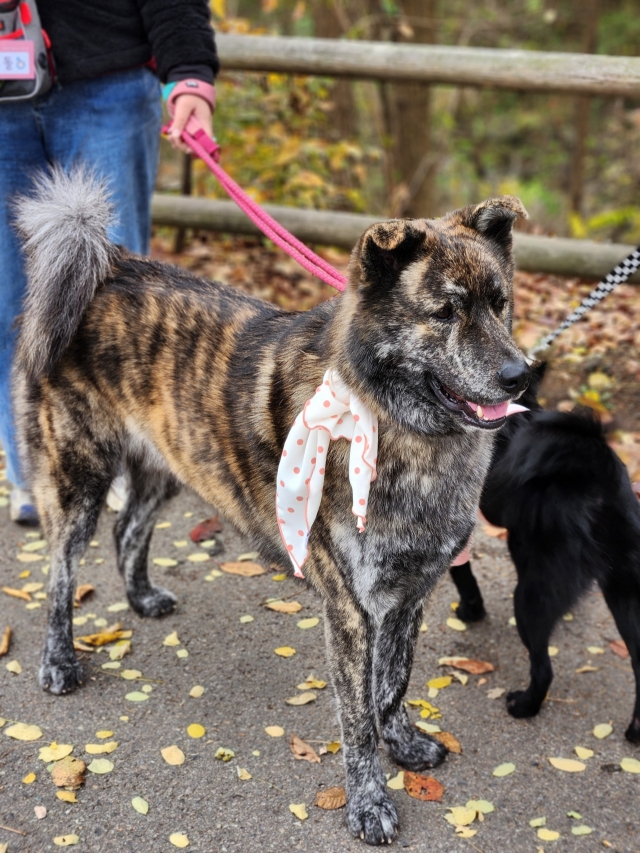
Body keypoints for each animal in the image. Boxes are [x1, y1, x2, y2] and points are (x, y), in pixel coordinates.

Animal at [12, 170, 528, 844]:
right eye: (444, 312)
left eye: (499, 303)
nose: (521, 375)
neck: (403, 431)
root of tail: (106, 264)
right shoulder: (350, 609)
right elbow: (357, 718)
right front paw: (369, 802)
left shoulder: (408, 594)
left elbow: (392, 685)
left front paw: (404, 744)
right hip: (77, 479)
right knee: (59, 573)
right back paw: (59, 660)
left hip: (168, 464)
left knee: (128, 527)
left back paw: (142, 596)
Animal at [450, 362, 640, 744]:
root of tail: (602, 487)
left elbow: (460, 572)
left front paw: (470, 610)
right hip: (626, 598)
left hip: (532, 598)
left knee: (543, 669)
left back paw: (524, 707)